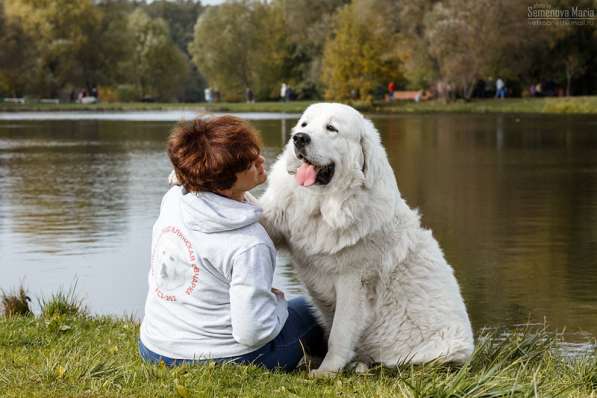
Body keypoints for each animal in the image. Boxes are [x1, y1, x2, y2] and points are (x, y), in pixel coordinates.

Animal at [260, 102, 474, 376]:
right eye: (304, 125)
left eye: (331, 128)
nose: (299, 138)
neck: (324, 208)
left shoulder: (353, 282)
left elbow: (339, 334)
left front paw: (327, 372)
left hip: (440, 351)